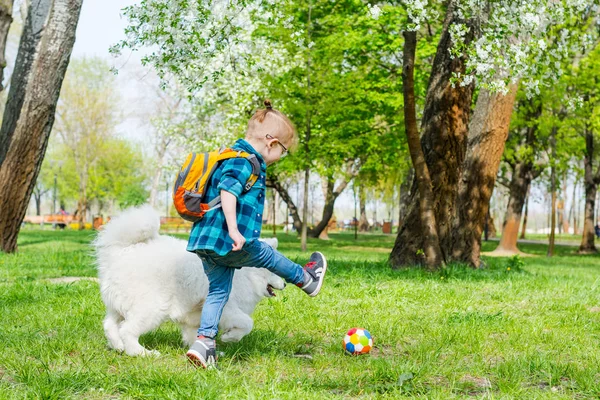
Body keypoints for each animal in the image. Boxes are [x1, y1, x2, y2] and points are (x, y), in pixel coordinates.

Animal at [94, 206, 286, 356]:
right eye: (275, 269)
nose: (285, 284)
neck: (246, 274)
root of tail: (120, 252)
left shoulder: (196, 316)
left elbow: (196, 335)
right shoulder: (227, 308)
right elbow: (247, 323)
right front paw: (229, 337)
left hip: (119, 305)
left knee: (109, 325)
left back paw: (118, 346)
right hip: (152, 308)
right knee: (127, 330)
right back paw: (142, 353)